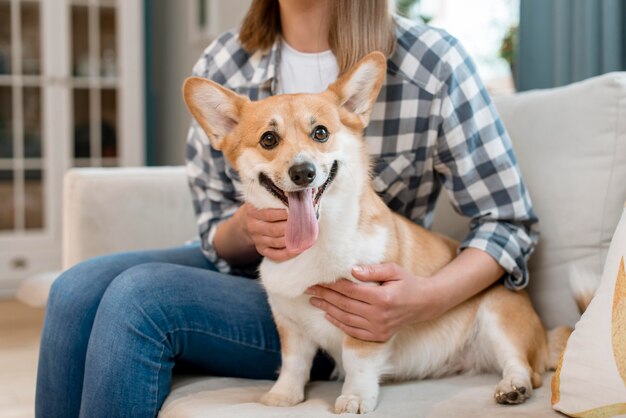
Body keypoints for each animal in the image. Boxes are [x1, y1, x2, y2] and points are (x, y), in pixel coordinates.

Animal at [182, 50, 572, 414]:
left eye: (320, 133)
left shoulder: (367, 316)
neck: (319, 242)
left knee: (525, 367)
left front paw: (355, 398)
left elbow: (357, 361)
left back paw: (513, 387)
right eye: (268, 139)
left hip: (498, 317)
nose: (303, 172)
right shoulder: (289, 322)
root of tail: (544, 336)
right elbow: (293, 363)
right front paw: (284, 396)